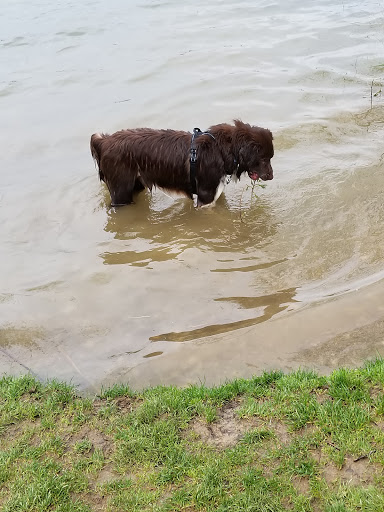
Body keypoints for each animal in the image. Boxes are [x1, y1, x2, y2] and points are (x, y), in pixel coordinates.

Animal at [91, 119, 272, 206]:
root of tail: (104, 141)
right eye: (264, 159)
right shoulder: (205, 197)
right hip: (121, 192)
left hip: (136, 185)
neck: (221, 149)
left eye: (270, 157)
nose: (271, 176)